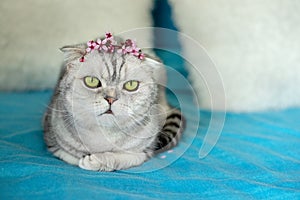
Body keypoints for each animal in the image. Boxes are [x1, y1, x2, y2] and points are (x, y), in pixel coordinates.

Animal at [43, 35, 185, 170]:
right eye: (92, 81)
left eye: (131, 85)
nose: (111, 99)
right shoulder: (52, 138)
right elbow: (69, 155)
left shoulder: (145, 151)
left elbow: (124, 158)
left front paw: (97, 160)